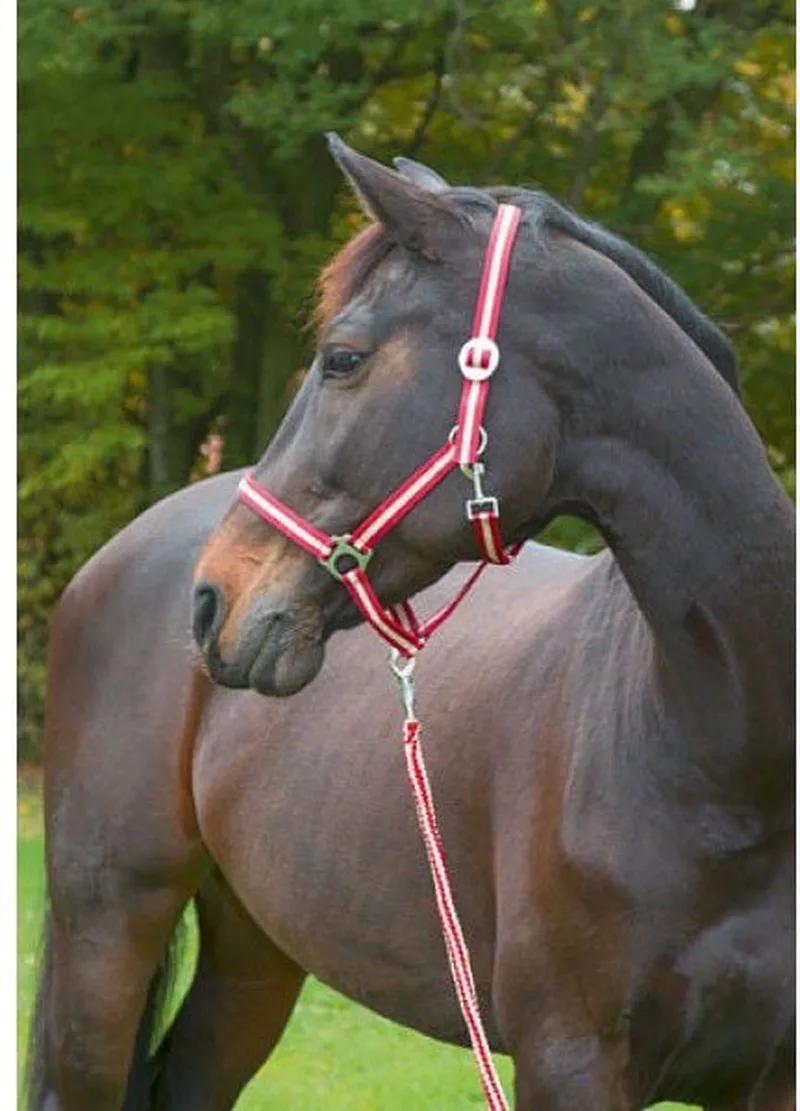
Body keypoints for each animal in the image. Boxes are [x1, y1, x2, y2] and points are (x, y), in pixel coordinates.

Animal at [27, 137, 794, 1111]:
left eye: (343, 357)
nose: (212, 601)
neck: (728, 753)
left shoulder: (768, 1073)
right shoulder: (569, 1059)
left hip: (253, 951)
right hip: (108, 930)